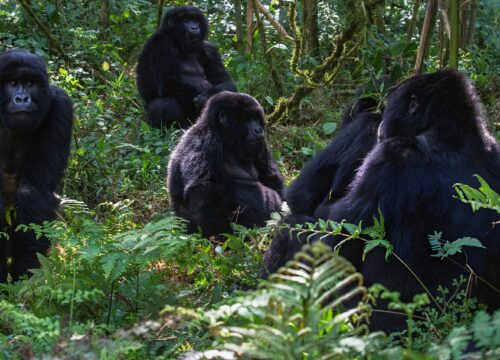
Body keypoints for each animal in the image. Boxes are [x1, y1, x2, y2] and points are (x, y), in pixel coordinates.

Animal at [0, 49, 73, 282]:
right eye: (12, 82)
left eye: (30, 83)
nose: (22, 98)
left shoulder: (61, 106)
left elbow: (33, 192)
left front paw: (27, 276)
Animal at [168, 91, 284, 235]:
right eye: (247, 119)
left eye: (257, 119)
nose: (259, 130)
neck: (225, 137)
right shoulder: (207, 141)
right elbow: (203, 192)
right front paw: (220, 234)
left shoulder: (261, 144)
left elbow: (270, 176)